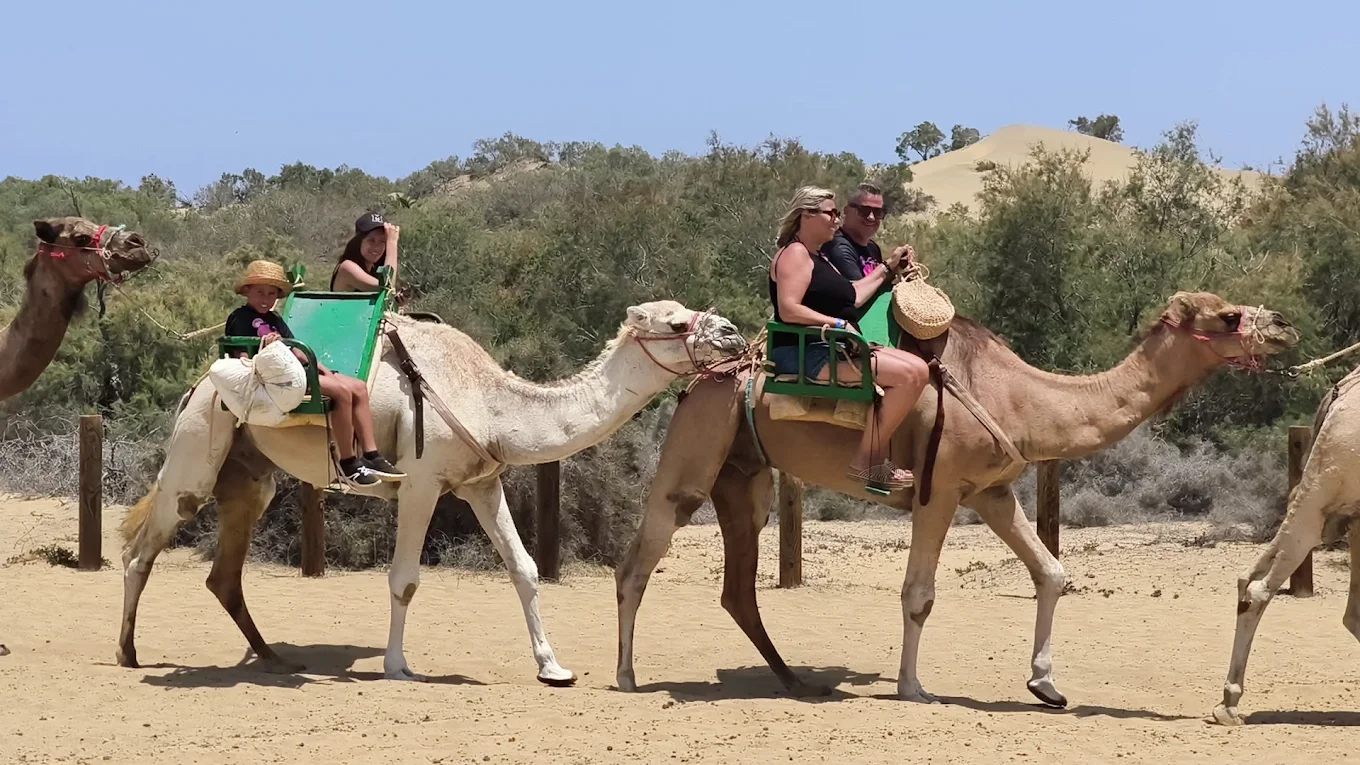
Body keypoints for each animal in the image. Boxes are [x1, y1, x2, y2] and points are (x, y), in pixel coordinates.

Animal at [116, 300, 745, 685]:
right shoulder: (421, 482)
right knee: (141, 549)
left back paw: (272, 658)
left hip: (250, 478)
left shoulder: (482, 483)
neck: (493, 403)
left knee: (223, 573)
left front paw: (553, 667)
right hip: (196, 453)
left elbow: (524, 569)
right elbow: (405, 579)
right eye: (675, 324)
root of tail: (198, 383)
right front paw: (397, 664)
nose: (734, 333)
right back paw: (127, 653)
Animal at [614, 291, 1298, 705]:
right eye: (1227, 317)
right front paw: (914, 688)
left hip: (744, 474)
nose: (1286, 326)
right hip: (698, 444)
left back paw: (795, 681)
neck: (1021, 399)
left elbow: (1052, 573)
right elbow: (919, 595)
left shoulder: (993, 490)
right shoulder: (938, 489)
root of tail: (704, 377)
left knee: (737, 586)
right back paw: (626, 675)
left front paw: (1046, 685)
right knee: (638, 560)